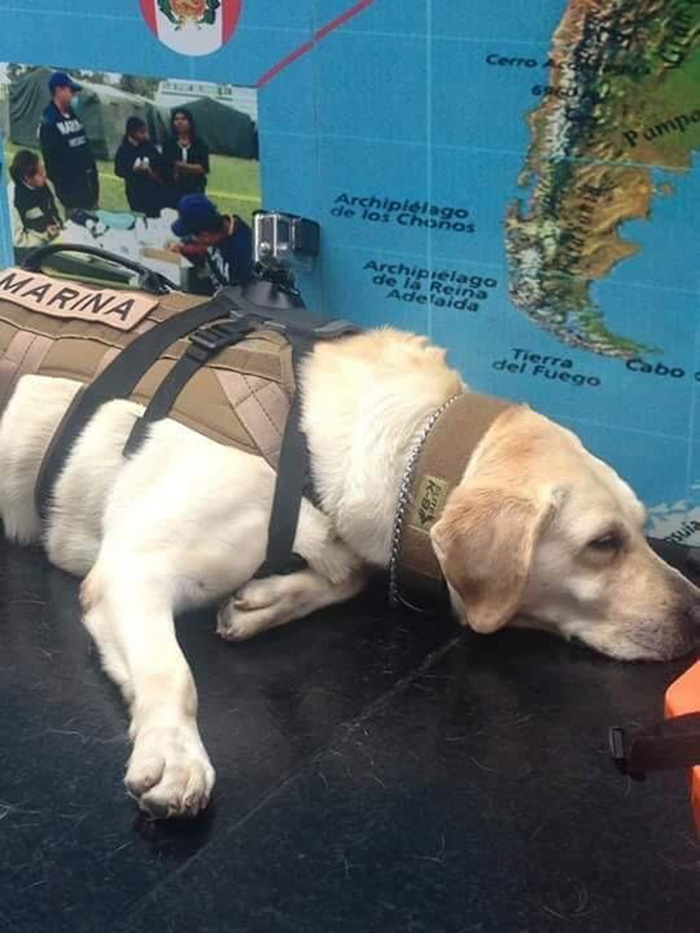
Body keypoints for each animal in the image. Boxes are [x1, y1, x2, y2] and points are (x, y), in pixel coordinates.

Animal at [0, 328, 696, 816]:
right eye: (603, 543)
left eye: (641, 528)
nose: (696, 613)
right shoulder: (130, 569)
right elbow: (174, 675)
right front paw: (173, 753)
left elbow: (347, 574)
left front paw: (263, 601)